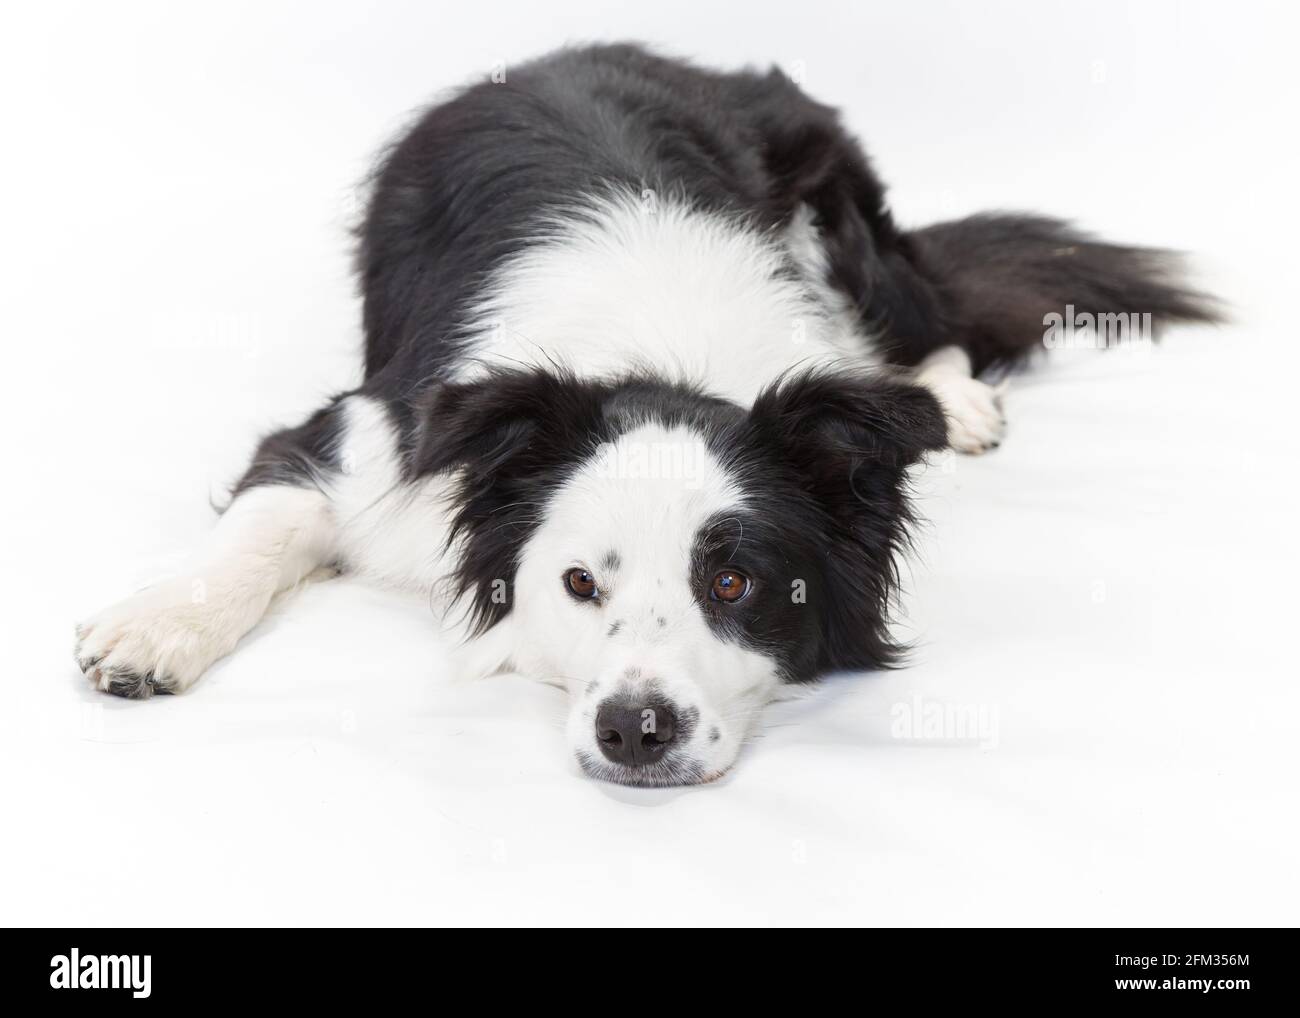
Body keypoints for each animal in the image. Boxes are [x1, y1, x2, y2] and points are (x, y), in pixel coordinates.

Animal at [71, 43, 1211, 790]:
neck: (658, 359)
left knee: (927, 311)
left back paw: (948, 396)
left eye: (733, 583)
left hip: (844, 221)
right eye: (579, 584)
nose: (636, 729)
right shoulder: (362, 442)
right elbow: (263, 524)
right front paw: (155, 625)